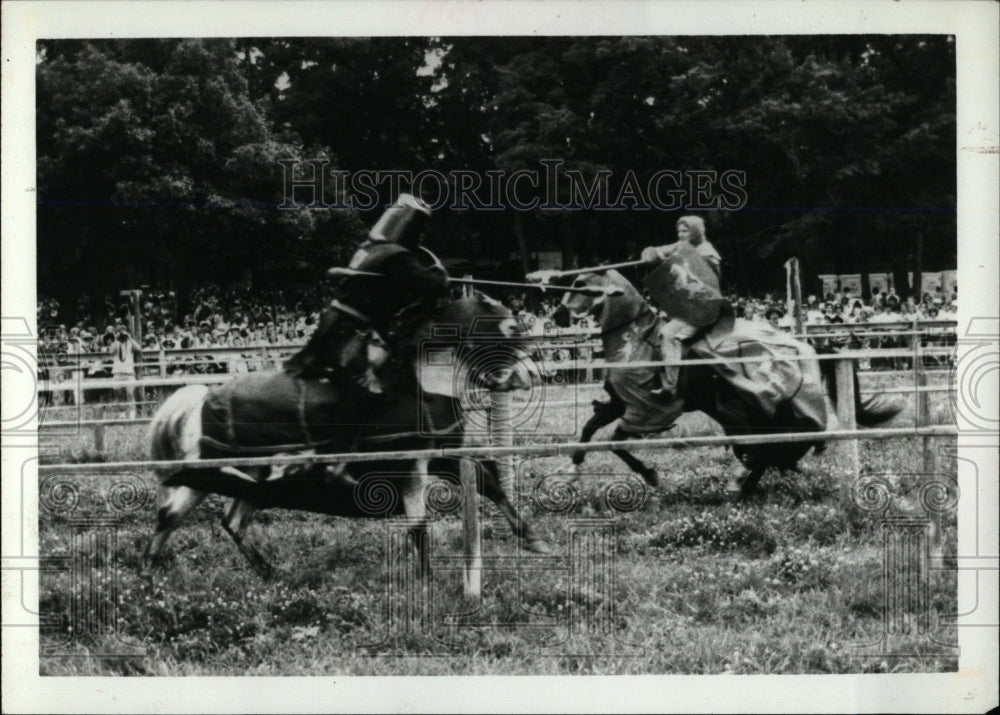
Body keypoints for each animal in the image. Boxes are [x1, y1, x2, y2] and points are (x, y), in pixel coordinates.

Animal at [145, 294, 548, 584]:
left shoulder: (441, 456)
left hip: (251, 481)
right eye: (510, 326)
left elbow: (488, 482)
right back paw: (150, 576)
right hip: (208, 475)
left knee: (225, 521)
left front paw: (533, 539)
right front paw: (425, 581)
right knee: (173, 516)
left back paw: (264, 572)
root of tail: (201, 401)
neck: (418, 388)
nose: (531, 374)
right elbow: (419, 525)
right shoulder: (408, 468)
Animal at [556, 270, 908, 498]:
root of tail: (807, 347)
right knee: (772, 451)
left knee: (772, 449)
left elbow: (616, 442)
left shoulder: (644, 410)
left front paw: (650, 475)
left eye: (580, 285)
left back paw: (744, 484)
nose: (558, 317)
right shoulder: (620, 404)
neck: (635, 340)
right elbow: (588, 430)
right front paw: (572, 474)